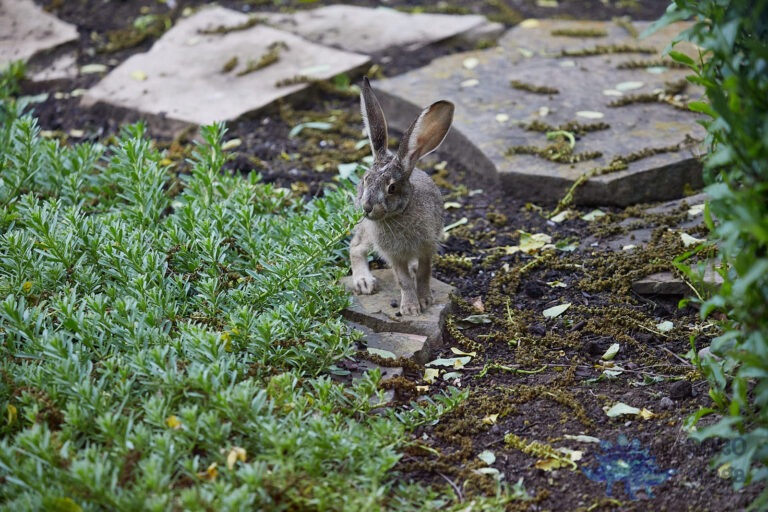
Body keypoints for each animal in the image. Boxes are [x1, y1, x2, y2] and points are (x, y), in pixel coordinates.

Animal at [349, 77, 454, 316]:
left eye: (392, 188)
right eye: (365, 180)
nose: (367, 207)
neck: (399, 214)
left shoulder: (427, 247)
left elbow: (424, 273)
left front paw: (425, 300)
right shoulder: (394, 255)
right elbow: (404, 280)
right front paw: (411, 309)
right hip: (367, 234)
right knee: (355, 247)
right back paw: (364, 282)